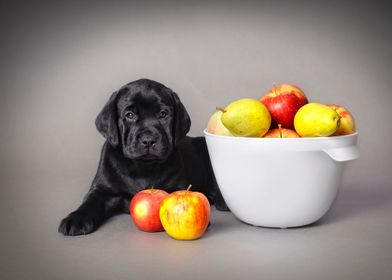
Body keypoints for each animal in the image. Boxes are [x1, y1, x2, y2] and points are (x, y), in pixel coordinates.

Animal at [59, 77, 228, 235]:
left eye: (163, 114)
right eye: (129, 115)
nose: (148, 140)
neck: (142, 166)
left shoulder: (177, 186)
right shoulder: (101, 189)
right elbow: (90, 202)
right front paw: (76, 218)